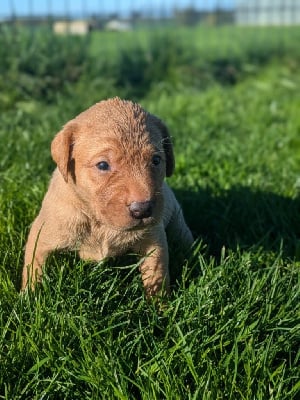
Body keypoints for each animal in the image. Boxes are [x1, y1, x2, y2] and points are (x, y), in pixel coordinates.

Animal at [22, 98, 193, 296]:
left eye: (156, 160)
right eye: (103, 165)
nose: (143, 209)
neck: (99, 222)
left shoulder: (153, 239)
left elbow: (156, 276)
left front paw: (159, 303)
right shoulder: (41, 236)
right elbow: (33, 269)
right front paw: (28, 297)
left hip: (177, 221)